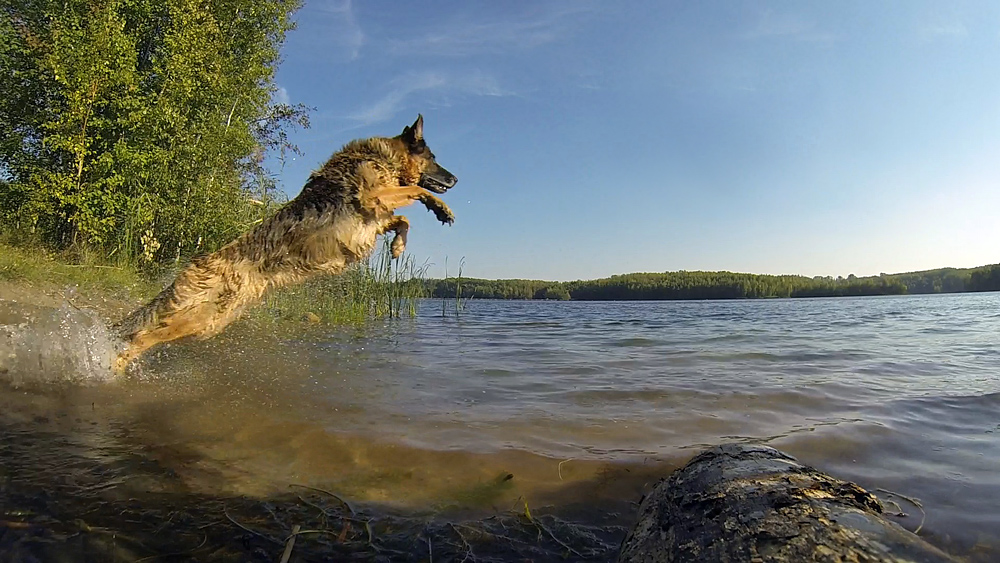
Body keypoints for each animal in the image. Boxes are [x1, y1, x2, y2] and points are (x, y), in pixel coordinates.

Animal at [115, 115, 458, 372]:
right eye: (433, 159)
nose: (456, 179)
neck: (383, 159)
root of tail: (197, 264)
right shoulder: (373, 198)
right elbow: (416, 193)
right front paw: (442, 208)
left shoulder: (375, 217)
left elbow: (403, 220)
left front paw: (399, 246)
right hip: (196, 318)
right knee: (139, 337)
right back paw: (113, 364)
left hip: (209, 323)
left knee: (144, 333)